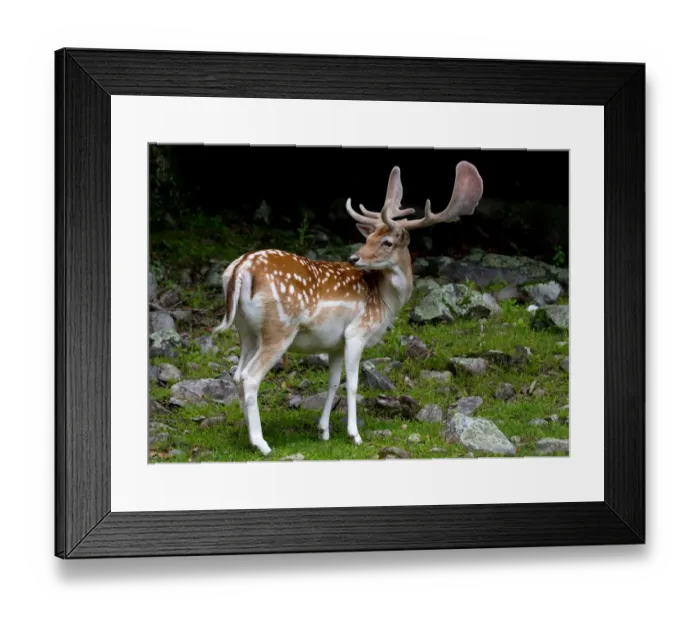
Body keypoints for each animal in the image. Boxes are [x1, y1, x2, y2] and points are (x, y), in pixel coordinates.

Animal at [213, 160, 483, 456]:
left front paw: (323, 431)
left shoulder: (334, 343)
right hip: (279, 328)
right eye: (368, 238)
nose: (354, 258)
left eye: (386, 241)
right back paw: (262, 443)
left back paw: (247, 435)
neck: (384, 301)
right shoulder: (357, 332)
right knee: (250, 377)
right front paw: (354, 434)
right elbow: (353, 384)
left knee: (237, 375)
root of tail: (240, 269)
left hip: (246, 330)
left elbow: (332, 382)